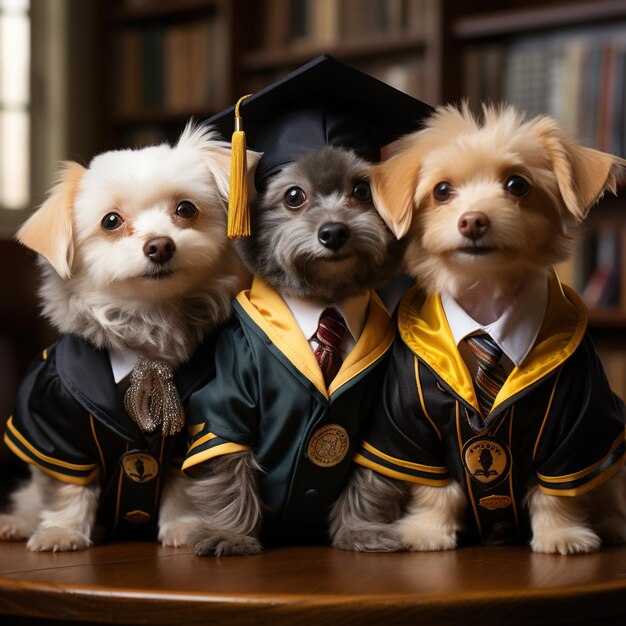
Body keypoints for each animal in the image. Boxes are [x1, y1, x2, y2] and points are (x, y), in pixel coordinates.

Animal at [332, 105, 624, 552]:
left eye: (517, 184)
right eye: (441, 190)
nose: (473, 220)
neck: (486, 308)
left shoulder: (577, 424)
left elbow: (557, 492)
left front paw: (561, 534)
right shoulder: (410, 424)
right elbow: (436, 490)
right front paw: (427, 531)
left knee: (604, 490)